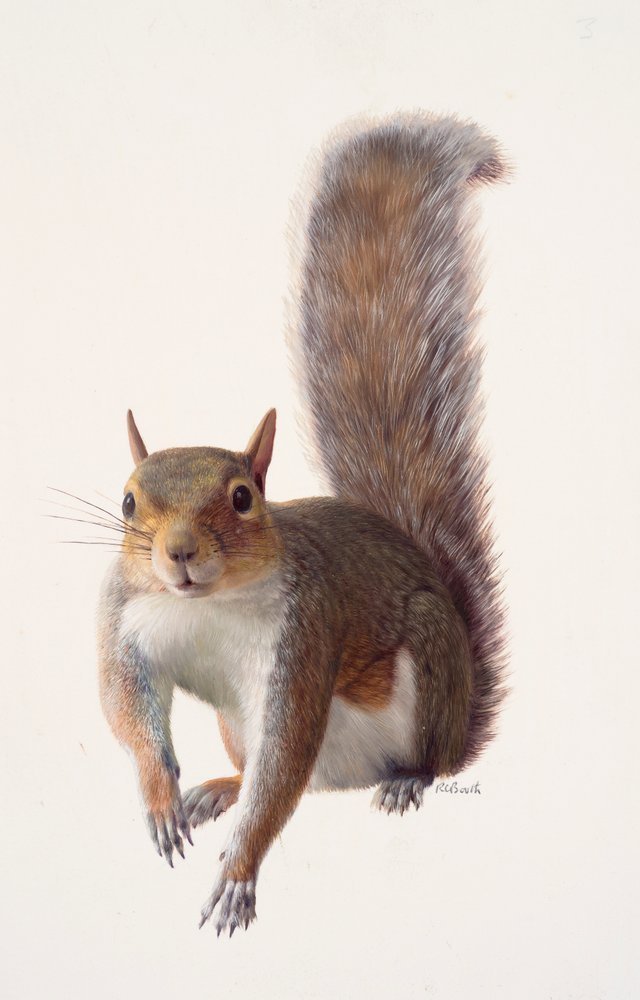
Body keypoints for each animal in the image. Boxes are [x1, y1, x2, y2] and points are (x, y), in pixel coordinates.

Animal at [97, 114, 507, 937]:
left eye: (243, 497)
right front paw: (160, 797)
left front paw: (237, 877)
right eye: (127, 502)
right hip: (234, 723)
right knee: (271, 776)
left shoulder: (306, 633)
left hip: (431, 667)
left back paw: (409, 779)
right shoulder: (125, 617)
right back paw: (218, 788)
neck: (208, 604)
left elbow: (286, 752)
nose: (177, 554)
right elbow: (126, 702)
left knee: (400, 764)